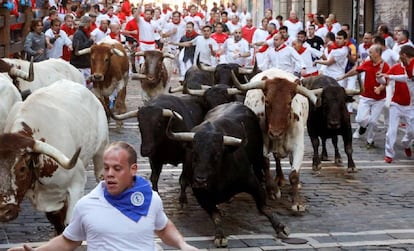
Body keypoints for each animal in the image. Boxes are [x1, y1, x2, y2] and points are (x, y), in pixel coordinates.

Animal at [165, 102, 288, 247]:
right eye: (194, 154)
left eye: (217, 155)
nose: (200, 180)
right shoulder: (201, 194)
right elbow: (216, 215)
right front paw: (220, 235)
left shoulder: (252, 183)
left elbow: (264, 207)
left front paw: (280, 227)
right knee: (183, 180)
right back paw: (183, 200)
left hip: (257, 156)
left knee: (264, 163)